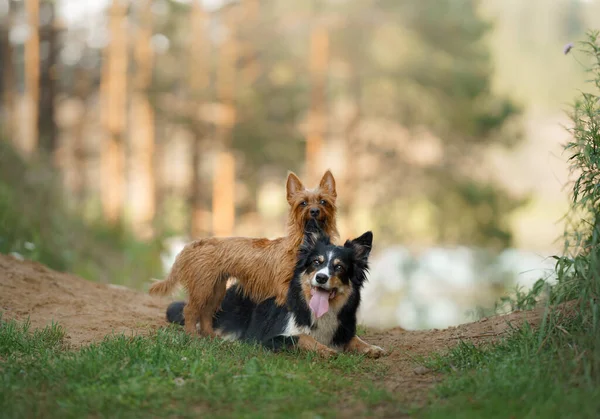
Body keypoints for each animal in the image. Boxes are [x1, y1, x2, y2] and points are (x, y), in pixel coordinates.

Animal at [148, 171, 340, 338]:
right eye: (303, 203)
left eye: (323, 202)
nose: (314, 211)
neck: (305, 242)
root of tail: (191, 245)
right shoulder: (284, 290)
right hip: (202, 289)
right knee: (190, 310)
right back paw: (192, 335)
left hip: (216, 290)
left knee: (206, 312)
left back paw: (210, 336)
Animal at [166, 221, 386, 360]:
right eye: (316, 263)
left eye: (339, 267)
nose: (321, 278)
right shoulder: (268, 339)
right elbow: (303, 337)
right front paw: (325, 350)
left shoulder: (343, 330)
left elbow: (354, 339)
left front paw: (371, 348)